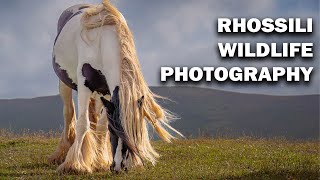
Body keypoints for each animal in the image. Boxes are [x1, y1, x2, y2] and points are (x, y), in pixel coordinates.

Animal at [47, 0, 182, 174]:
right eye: (114, 131)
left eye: (135, 132)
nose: (119, 167)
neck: (101, 44)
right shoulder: (84, 87)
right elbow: (83, 124)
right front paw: (75, 165)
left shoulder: (107, 94)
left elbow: (101, 126)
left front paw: (99, 162)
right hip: (65, 84)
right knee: (69, 113)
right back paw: (62, 155)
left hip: (98, 95)